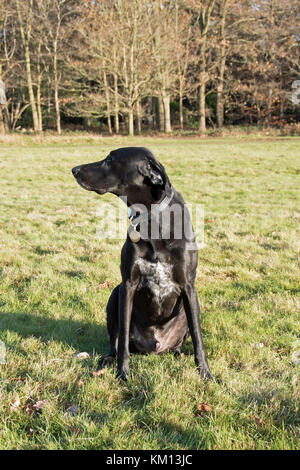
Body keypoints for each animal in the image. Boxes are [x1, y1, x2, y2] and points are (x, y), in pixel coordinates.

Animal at [72, 148, 213, 382]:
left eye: (111, 159)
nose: (74, 169)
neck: (153, 219)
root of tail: (155, 346)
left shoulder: (188, 286)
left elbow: (198, 338)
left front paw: (205, 373)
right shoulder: (128, 284)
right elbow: (122, 343)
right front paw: (122, 374)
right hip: (115, 294)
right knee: (115, 343)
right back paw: (107, 360)